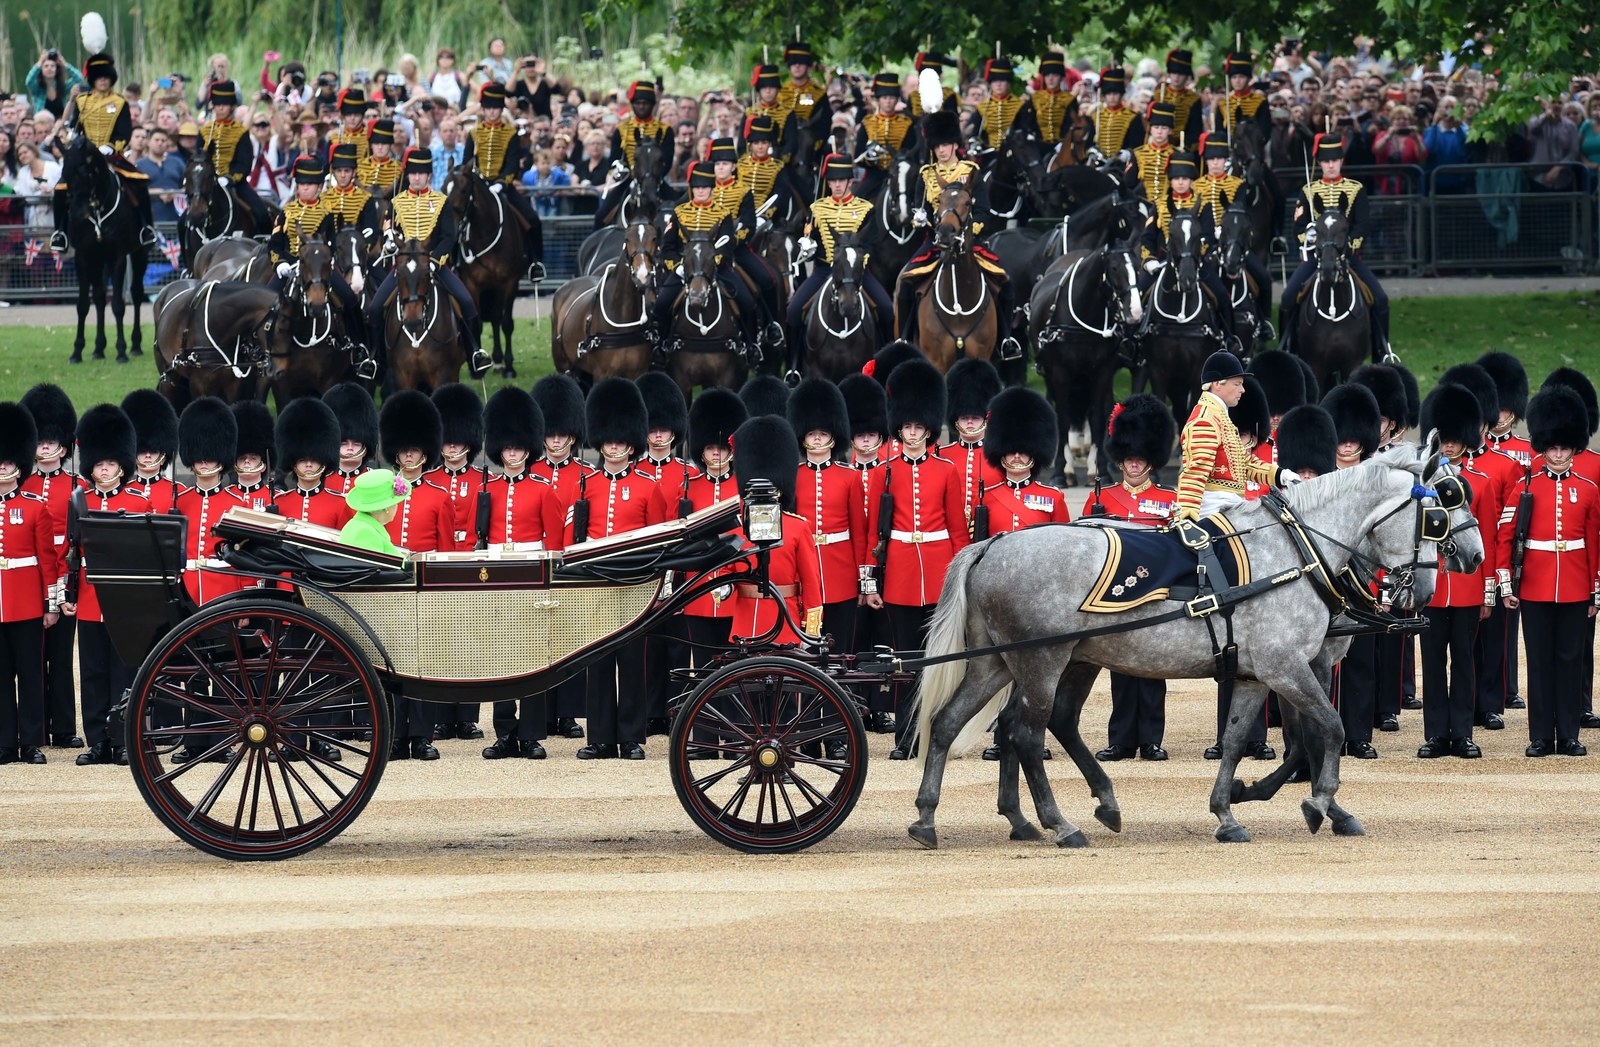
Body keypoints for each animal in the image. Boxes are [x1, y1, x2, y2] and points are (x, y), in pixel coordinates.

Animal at [60, 133, 149, 366]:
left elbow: (118, 305)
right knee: (100, 299)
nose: (78, 215)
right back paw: (98, 349)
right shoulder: (83, 258)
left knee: (136, 294)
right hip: (99, 261)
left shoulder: (118, 257)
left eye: (83, 169)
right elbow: (83, 305)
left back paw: (135, 345)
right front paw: (77, 352)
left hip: (139, 254)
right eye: (64, 171)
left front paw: (121, 351)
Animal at [444, 164, 524, 377]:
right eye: (444, 187)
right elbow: (477, 322)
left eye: (464, 190)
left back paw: (499, 361)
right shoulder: (473, 285)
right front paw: (477, 365)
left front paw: (509, 367)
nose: (449, 227)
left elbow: (506, 323)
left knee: (497, 318)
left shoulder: (510, 284)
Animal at [547, 219, 652, 387]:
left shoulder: (638, 372)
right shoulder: (602, 374)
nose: (642, 275)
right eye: (627, 239)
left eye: (654, 238)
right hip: (564, 366)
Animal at [915, 448, 1484, 851]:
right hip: (1041, 662)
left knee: (955, 723)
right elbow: (1328, 728)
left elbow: (1240, 740)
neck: (1300, 550)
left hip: (1010, 662)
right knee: (1025, 733)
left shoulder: (1261, 674)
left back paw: (938, 817)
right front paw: (1319, 803)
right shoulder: (1290, 666)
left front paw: (1229, 810)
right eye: (1439, 513)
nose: (1471, 560)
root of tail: (994, 544)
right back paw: (1060, 823)